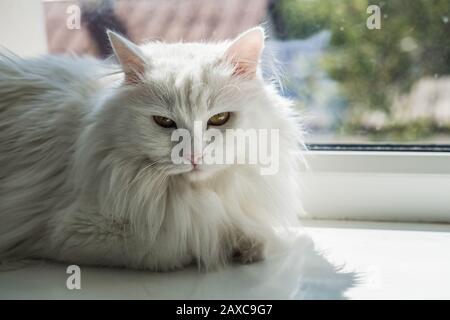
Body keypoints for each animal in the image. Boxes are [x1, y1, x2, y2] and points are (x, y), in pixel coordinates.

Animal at [0, 28, 304, 272]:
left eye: (219, 119)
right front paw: (226, 246)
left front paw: (248, 245)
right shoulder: (70, 230)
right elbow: (186, 242)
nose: (193, 156)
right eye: (164, 122)